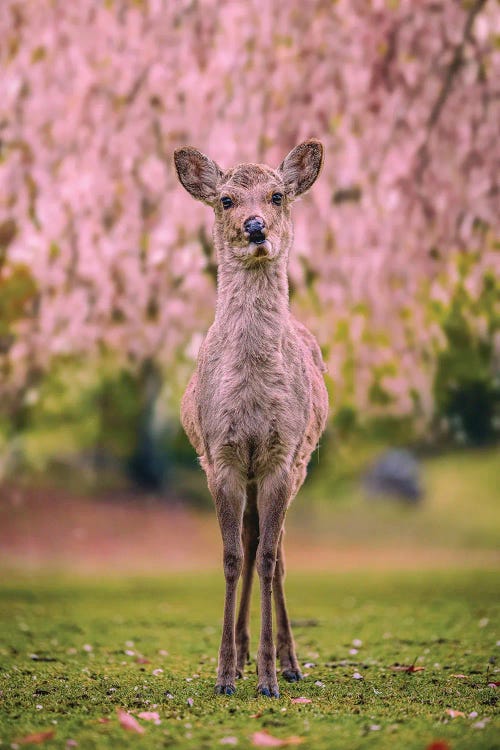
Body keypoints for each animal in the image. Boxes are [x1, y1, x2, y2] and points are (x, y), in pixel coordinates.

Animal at [174, 141, 330, 700]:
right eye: (225, 199)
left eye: (278, 194)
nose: (256, 225)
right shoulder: (220, 456)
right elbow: (230, 557)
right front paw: (224, 672)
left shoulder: (281, 456)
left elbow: (265, 559)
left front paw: (268, 678)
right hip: (243, 473)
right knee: (248, 538)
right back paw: (241, 653)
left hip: (301, 464)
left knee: (276, 551)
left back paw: (289, 662)